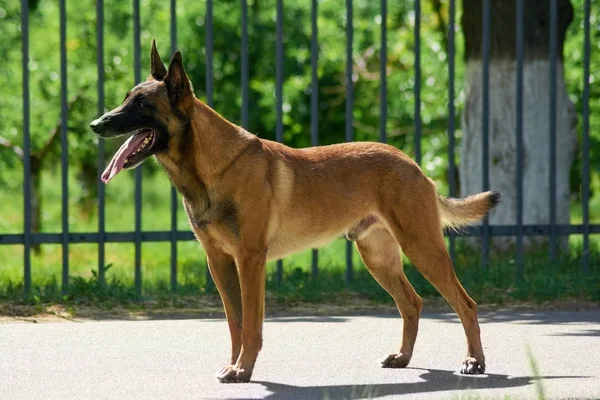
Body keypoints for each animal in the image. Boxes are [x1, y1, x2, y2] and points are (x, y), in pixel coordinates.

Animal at [91, 41, 500, 384]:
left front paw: (243, 370)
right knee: (412, 303)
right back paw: (403, 357)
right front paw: (235, 365)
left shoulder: (250, 261)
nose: (96, 125)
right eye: (125, 99)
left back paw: (474, 361)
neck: (210, 167)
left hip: (422, 248)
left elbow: (251, 324)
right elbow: (235, 323)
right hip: (378, 257)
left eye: (140, 104)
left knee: (466, 304)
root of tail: (414, 165)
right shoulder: (219, 262)